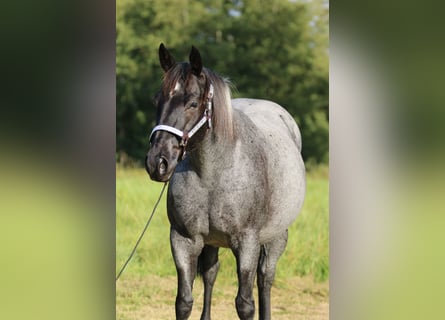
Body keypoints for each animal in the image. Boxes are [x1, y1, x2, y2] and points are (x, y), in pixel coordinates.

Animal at [146, 43, 306, 320]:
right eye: (158, 100)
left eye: (193, 103)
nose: (158, 162)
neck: (212, 175)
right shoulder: (183, 239)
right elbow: (184, 301)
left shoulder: (247, 242)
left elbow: (245, 303)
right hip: (212, 242)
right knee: (211, 274)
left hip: (276, 237)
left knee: (265, 278)